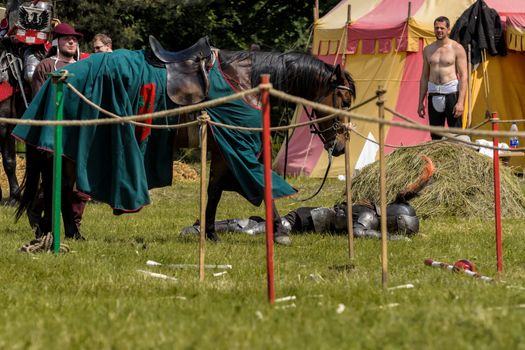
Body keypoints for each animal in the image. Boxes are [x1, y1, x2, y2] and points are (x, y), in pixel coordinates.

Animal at [14, 39, 354, 245]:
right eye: (345, 99)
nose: (340, 147)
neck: (246, 82)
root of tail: (57, 77)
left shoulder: (223, 151)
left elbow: (215, 192)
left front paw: (210, 233)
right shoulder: (233, 149)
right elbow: (259, 183)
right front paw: (279, 232)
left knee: (61, 186)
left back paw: (67, 233)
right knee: (57, 186)